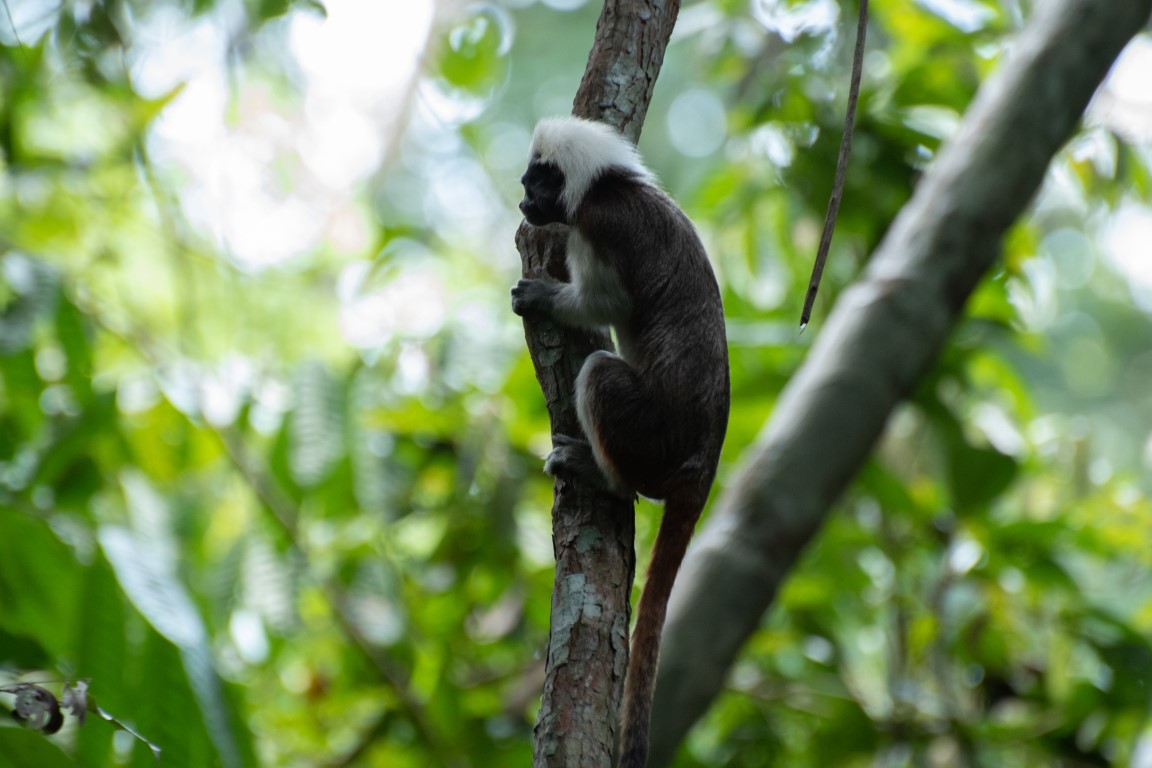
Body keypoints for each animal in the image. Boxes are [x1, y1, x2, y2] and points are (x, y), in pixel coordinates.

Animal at [513, 115, 728, 768]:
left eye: (536, 184)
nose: (523, 202)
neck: (610, 186)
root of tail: (701, 464)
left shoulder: (598, 225)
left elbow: (609, 303)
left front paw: (544, 297)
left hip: (649, 437)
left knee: (601, 375)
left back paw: (602, 477)